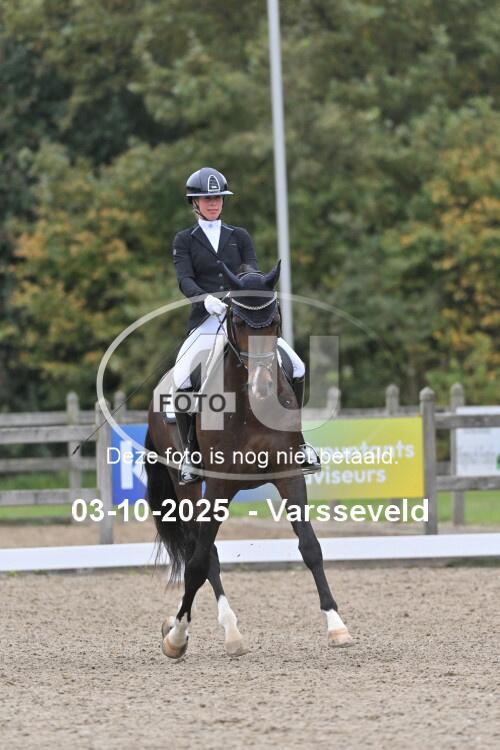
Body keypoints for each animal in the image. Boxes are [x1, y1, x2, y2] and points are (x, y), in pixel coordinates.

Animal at [144, 261, 353, 658]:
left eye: (275, 320)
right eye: (239, 322)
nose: (262, 386)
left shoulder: (289, 475)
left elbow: (310, 547)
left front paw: (337, 626)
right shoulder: (218, 487)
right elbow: (199, 561)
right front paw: (176, 637)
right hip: (186, 487)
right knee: (202, 553)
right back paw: (226, 631)